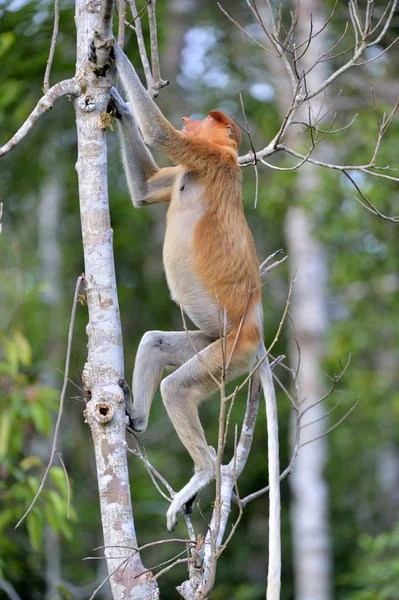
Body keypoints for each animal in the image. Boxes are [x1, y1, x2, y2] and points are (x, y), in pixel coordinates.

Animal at [100, 44, 278, 532]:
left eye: (207, 121)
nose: (192, 118)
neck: (226, 156)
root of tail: (256, 332)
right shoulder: (190, 165)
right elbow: (146, 191)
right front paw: (120, 105)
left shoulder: (202, 157)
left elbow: (160, 135)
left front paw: (115, 52)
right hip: (213, 342)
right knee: (155, 342)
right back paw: (136, 417)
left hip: (230, 353)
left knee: (178, 388)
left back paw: (202, 473)